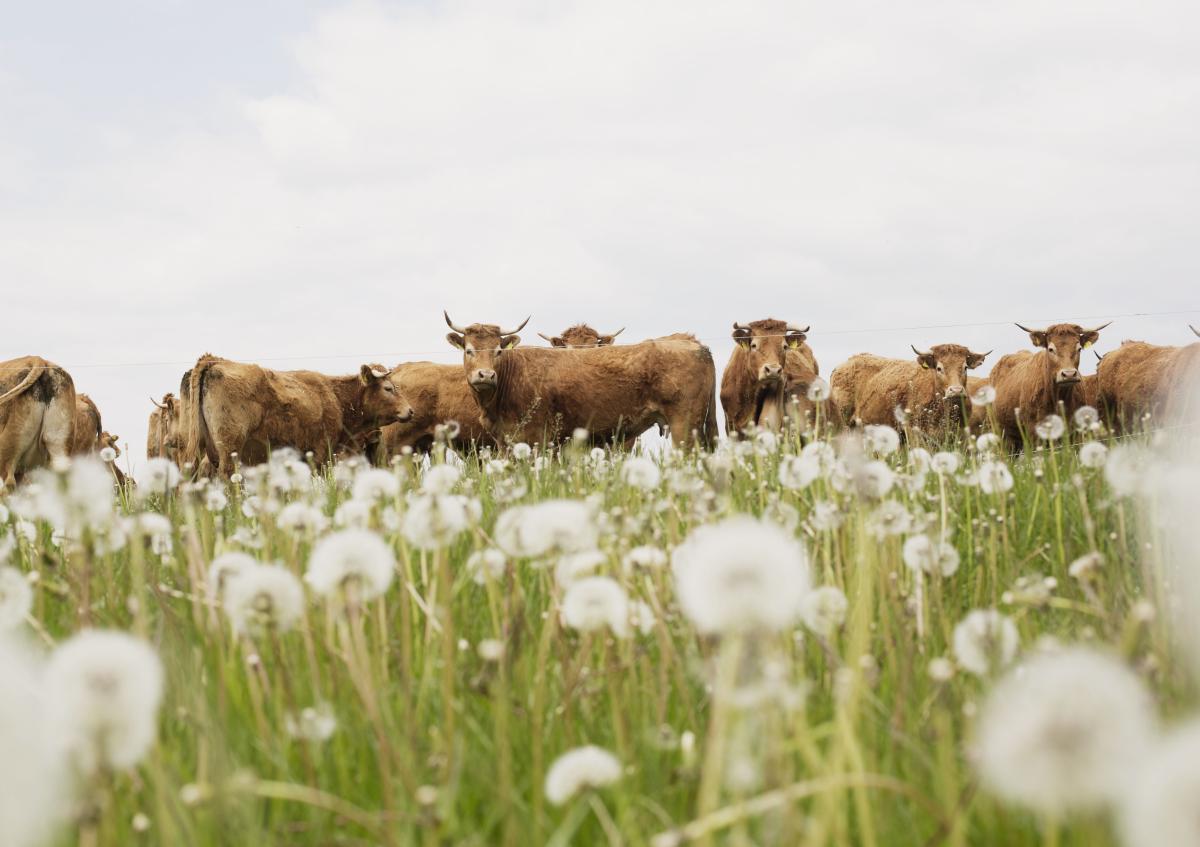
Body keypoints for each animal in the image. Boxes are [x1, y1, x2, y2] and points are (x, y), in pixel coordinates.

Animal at [446, 311, 715, 448]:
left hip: (684, 425)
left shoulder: (536, 439)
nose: (486, 375)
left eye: (498, 351)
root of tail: (697, 346)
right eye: (468, 350)